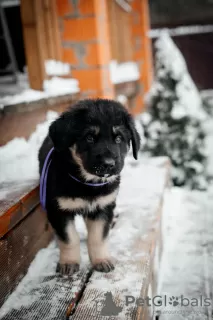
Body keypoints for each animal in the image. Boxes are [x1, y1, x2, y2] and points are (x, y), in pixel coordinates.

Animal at [38, 98, 140, 276]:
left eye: (118, 139)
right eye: (90, 137)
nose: (108, 164)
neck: (87, 183)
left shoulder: (103, 207)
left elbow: (98, 237)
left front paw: (101, 260)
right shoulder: (58, 209)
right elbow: (69, 238)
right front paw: (69, 263)